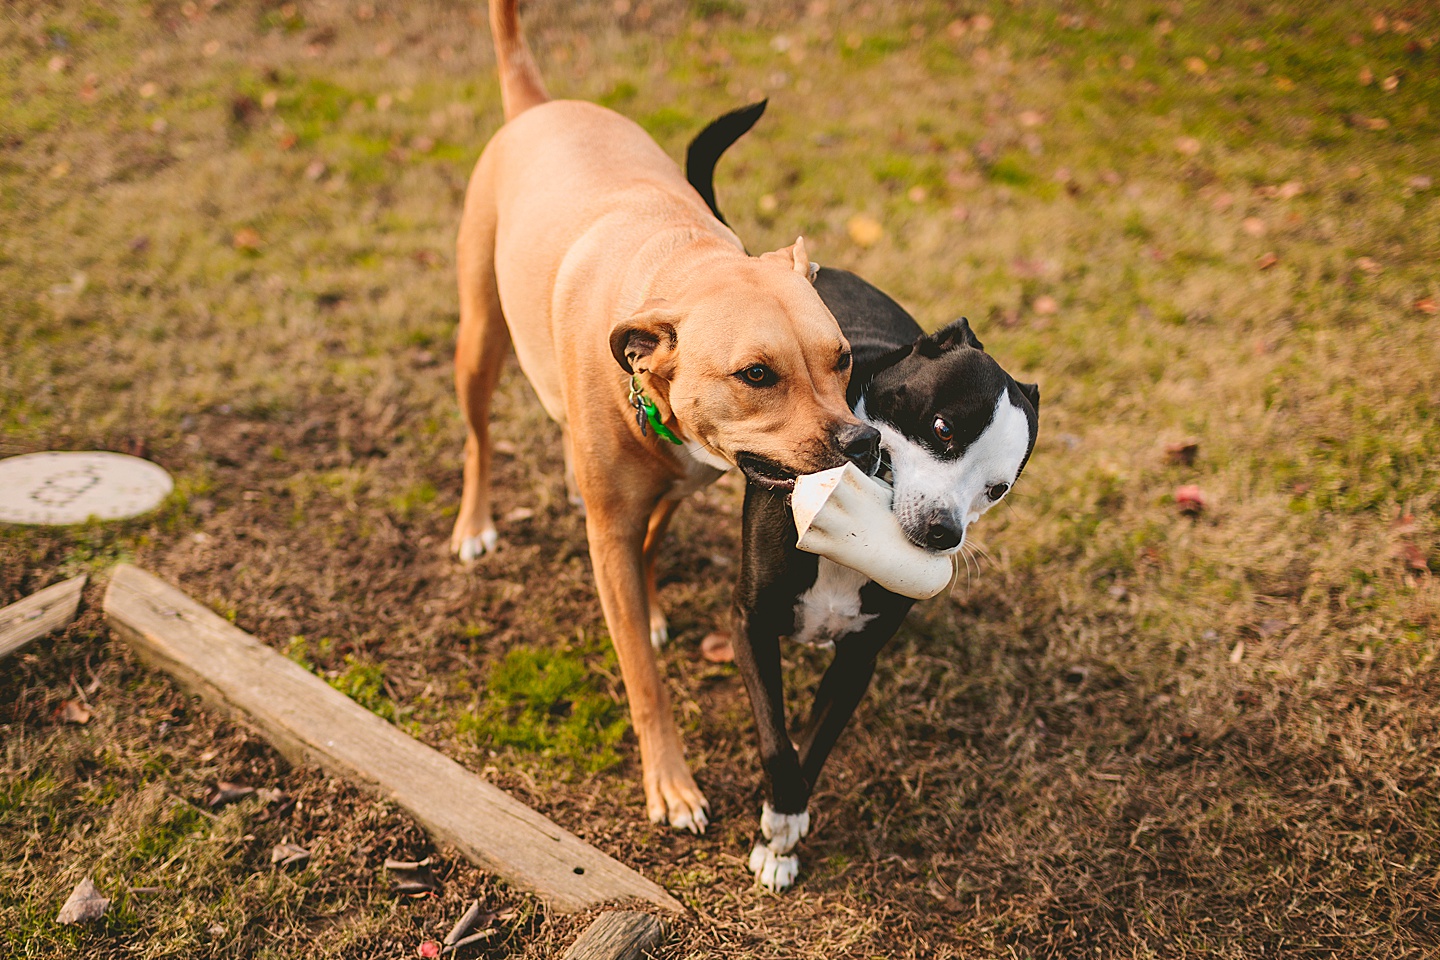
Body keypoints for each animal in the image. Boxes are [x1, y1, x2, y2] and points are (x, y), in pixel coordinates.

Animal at [455, 0, 875, 829]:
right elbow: (644, 678)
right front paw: (671, 784)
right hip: (480, 337)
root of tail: (536, 102)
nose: (861, 439)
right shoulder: (611, 529)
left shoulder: (686, 479)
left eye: (843, 357)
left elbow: (652, 540)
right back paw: (474, 524)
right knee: (479, 438)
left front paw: (649, 605)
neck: (677, 263)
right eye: (757, 374)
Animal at [685, 101, 1036, 892]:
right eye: (942, 427)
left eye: (997, 489)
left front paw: (787, 828)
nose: (942, 533)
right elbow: (779, 739)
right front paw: (780, 824)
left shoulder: (858, 658)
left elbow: (814, 742)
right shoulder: (750, 624)